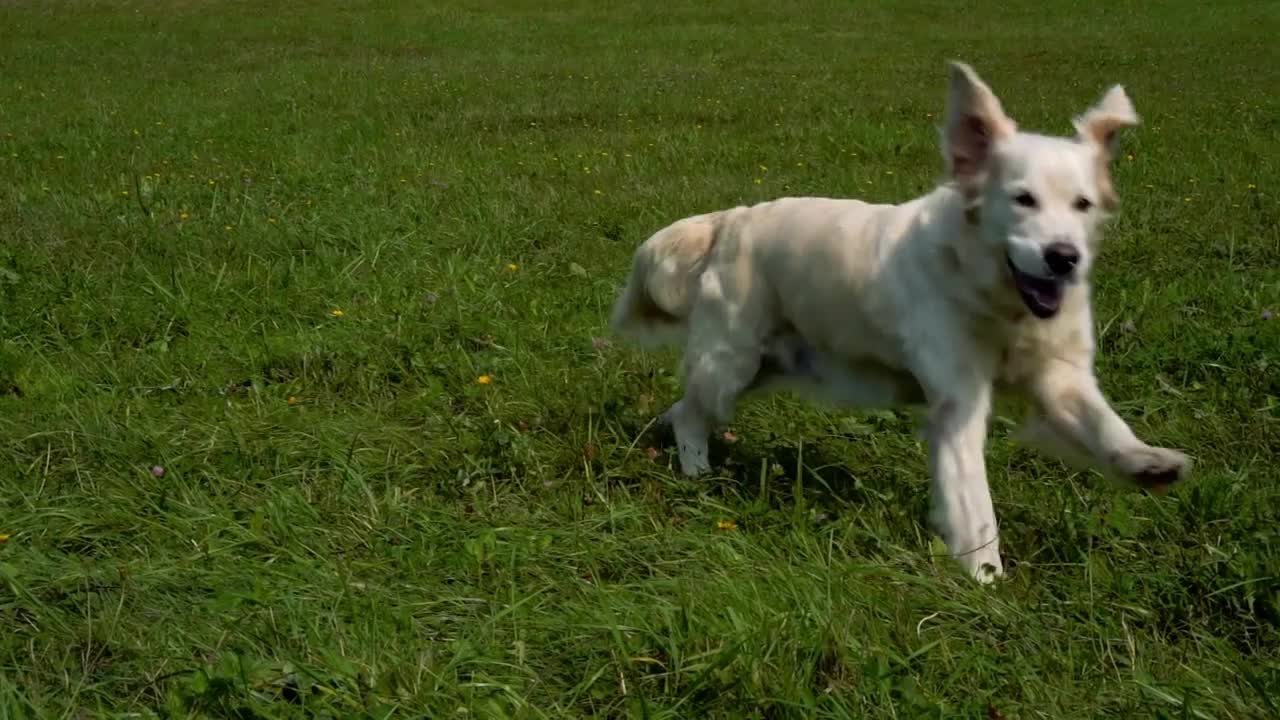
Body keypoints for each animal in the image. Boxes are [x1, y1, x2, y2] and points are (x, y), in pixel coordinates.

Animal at [606, 60, 1187, 576]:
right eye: (1023, 199)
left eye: (1083, 205)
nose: (1065, 257)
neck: (991, 292)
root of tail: (730, 219)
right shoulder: (958, 401)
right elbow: (973, 501)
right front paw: (985, 579)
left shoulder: (1059, 375)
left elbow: (1104, 426)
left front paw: (1147, 463)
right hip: (734, 359)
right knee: (691, 411)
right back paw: (696, 471)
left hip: (770, 364)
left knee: (685, 405)